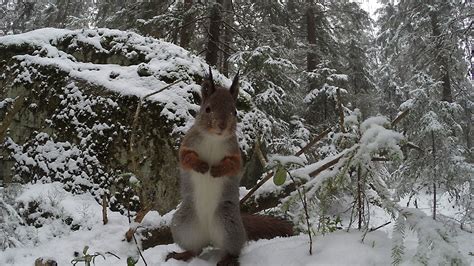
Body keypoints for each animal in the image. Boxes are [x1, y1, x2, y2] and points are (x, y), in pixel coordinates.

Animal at [167, 67, 292, 266]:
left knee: (232, 249)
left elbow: (233, 165)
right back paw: (183, 255)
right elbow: (186, 158)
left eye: (235, 111)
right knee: (196, 248)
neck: (213, 138)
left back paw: (227, 259)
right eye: (207, 109)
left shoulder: (235, 153)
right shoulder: (188, 144)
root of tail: (209, 236)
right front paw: (202, 165)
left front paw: (216, 169)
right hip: (184, 225)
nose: (222, 125)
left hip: (228, 225)